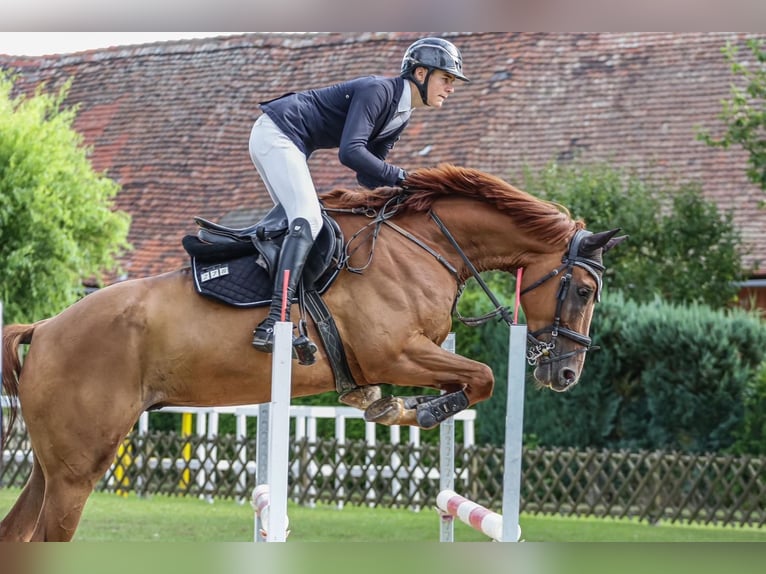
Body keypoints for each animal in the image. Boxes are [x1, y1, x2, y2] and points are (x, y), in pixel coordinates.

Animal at [0, 164, 624, 544]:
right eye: (583, 291)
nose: (567, 373)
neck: (425, 246)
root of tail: (46, 327)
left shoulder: (402, 357)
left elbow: (469, 379)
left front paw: (386, 407)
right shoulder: (395, 353)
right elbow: (484, 376)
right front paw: (418, 411)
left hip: (52, 468)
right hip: (78, 469)